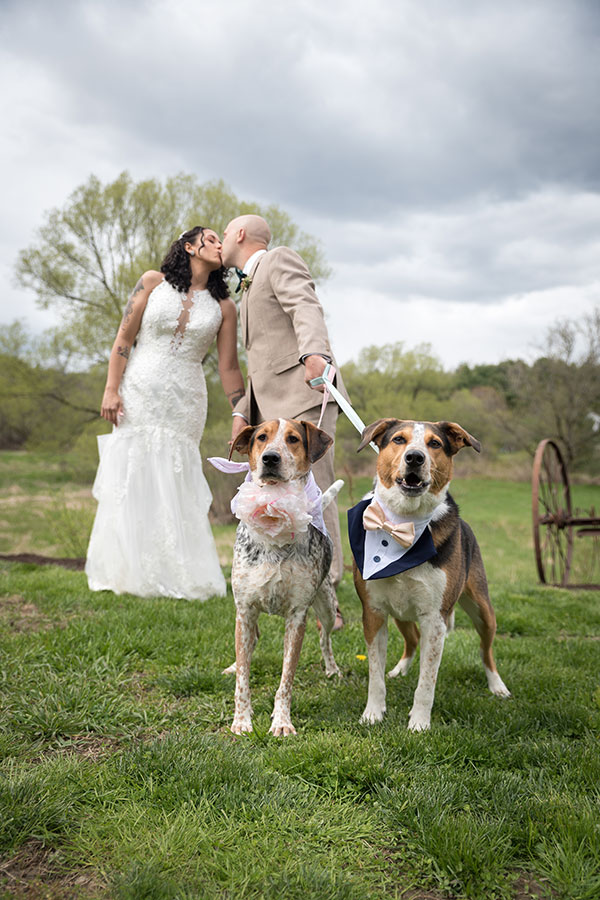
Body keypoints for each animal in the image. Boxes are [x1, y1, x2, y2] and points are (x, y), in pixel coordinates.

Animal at [226, 418, 342, 736]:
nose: (270, 458)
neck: (273, 509)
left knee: (325, 638)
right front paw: (242, 720)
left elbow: (286, 681)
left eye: (293, 439)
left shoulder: (297, 615)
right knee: (250, 643)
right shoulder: (244, 609)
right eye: (261, 438)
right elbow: (243, 678)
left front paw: (281, 722)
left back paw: (332, 669)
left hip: (327, 607)